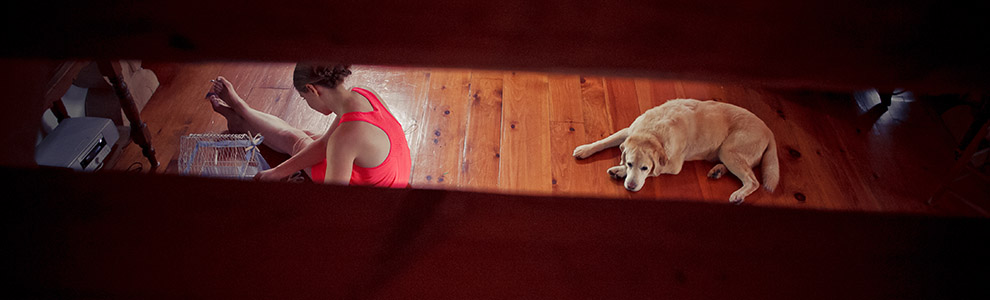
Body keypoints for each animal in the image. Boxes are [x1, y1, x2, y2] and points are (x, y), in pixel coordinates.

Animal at [576, 98, 780, 204]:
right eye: (630, 162)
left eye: (644, 168)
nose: (631, 187)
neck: (653, 132)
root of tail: (769, 131)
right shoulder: (629, 131)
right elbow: (606, 140)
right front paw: (585, 149)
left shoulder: (673, 166)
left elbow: (655, 171)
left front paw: (619, 171)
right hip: (728, 153)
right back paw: (717, 171)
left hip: (729, 150)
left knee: (753, 181)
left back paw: (738, 194)